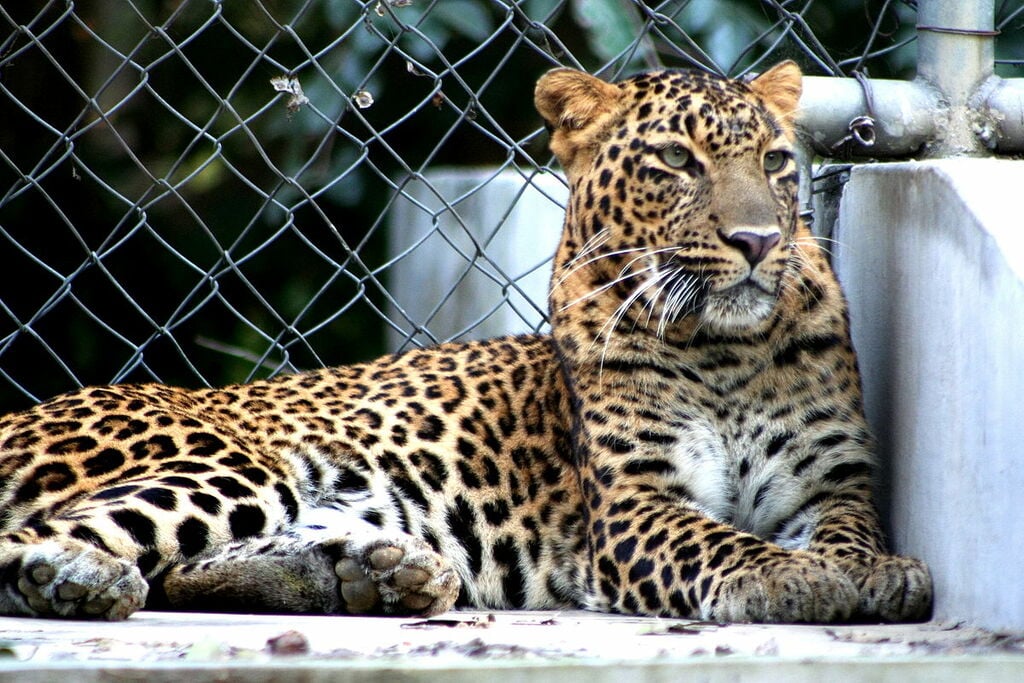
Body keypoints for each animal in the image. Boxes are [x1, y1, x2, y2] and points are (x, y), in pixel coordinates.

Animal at [0, 61, 932, 623]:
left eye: (776, 161)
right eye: (676, 161)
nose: (759, 241)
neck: (725, 352)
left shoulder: (835, 481)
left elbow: (853, 531)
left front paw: (873, 574)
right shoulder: (634, 503)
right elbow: (723, 541)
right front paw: (795, 577)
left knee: (179, 566)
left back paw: (366, 569)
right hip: (226, 461)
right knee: (61, 539)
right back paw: (74, 580)